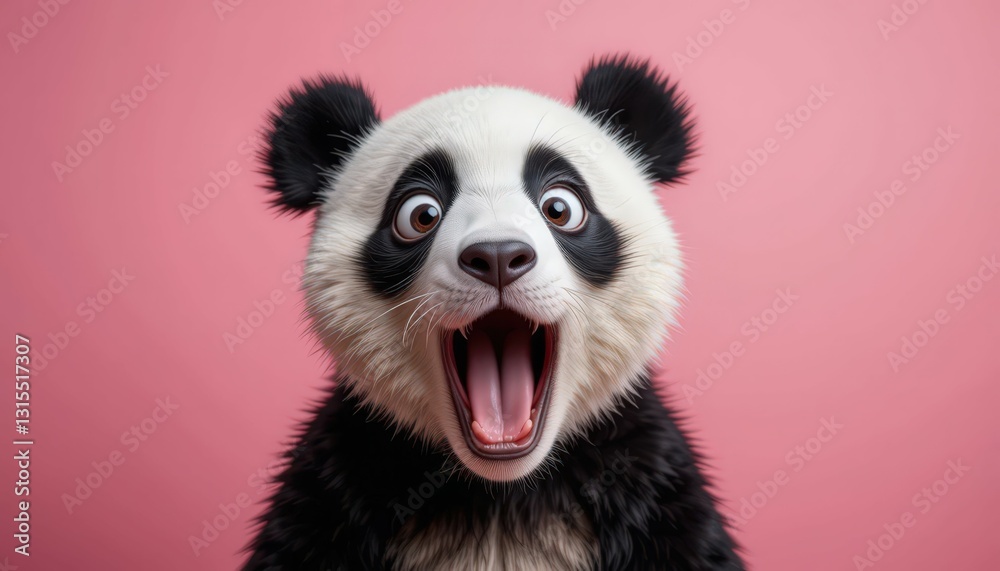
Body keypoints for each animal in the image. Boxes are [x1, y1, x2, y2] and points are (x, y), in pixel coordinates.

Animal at [243, 55, 745, 571]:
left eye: (560, 207)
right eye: (420, 215)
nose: (499, 255)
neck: (501, 492)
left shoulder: (648, 484)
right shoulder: (341, 485)